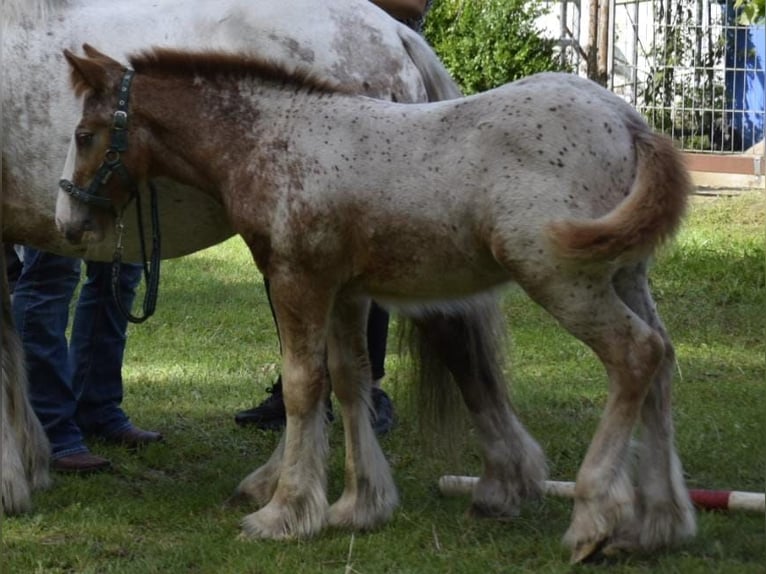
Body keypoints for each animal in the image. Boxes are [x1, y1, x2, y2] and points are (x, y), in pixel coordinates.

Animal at [0, 0, 462, 516]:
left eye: (83, 136)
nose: (65, 217)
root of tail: (394, 33)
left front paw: (10, 480)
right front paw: (29, 466)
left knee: (316, 371)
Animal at [58, 46, 696, 568]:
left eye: (86, 133)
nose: (69, 223)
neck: (272, 139)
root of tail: (630, 122)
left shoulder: (297, 280)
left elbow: (302, 386)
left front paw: (283, 513)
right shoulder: (346, 291)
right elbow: (349, 379)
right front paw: (359, 505)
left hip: (560, 275)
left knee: (635, 355)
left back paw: (593, 522)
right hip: (624, 274)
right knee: (663, 361)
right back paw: (657, 525)